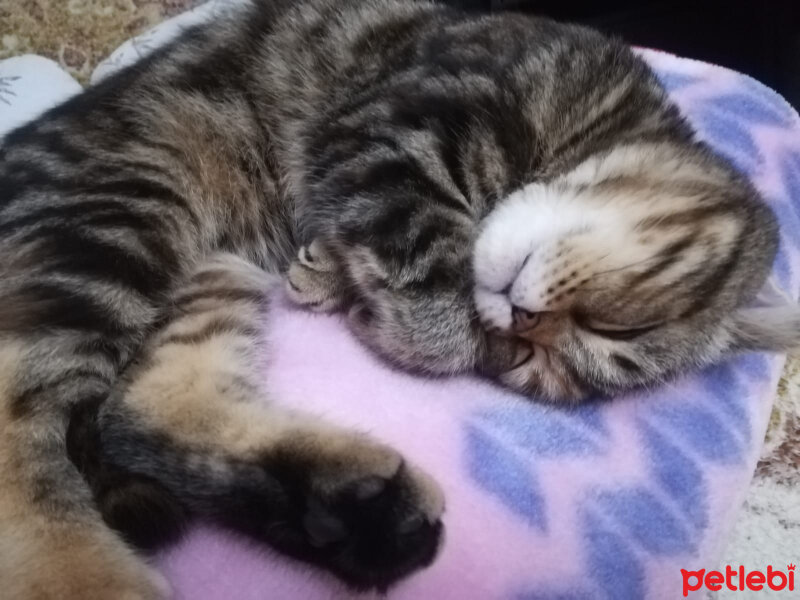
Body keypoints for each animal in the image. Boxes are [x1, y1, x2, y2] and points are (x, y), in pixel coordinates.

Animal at [0, 0, 792, 596]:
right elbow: (436, 302)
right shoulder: (403, 131)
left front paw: (340, 279)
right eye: (615, 328)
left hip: (198, 271)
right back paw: (94, 580)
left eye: (526, 367)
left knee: (138, 411)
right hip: (115, 219)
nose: (520, 325)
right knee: (23, 428)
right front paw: (407, 314)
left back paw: (354, 517)